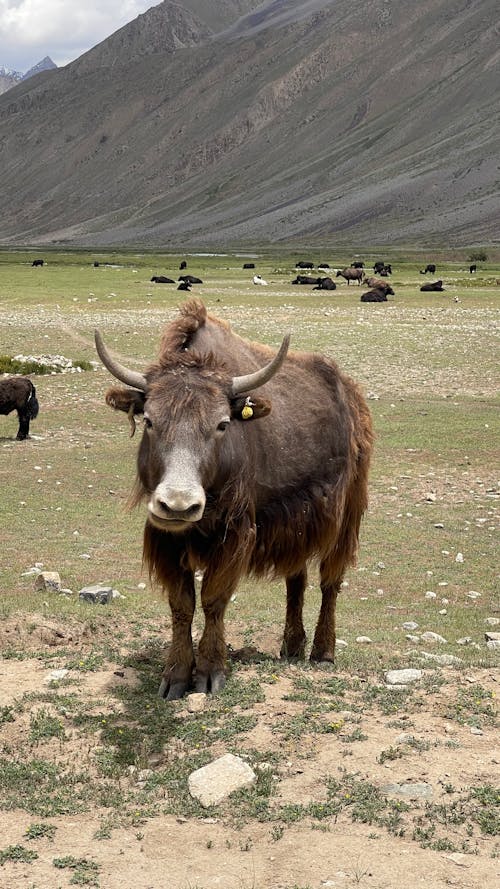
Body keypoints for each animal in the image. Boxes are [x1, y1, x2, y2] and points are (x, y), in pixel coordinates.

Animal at [95, 298, 374, 700]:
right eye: (149, 420)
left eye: (222, 424)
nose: (179, 506)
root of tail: (351, 392)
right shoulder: (164, 536)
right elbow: (181, 603)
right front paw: (175, 676)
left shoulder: (237, 532)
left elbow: (213, 598)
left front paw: (210, 672)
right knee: (296, 579)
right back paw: (292, 646)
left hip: (347, 510)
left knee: (330, 580)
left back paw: (322, 652)